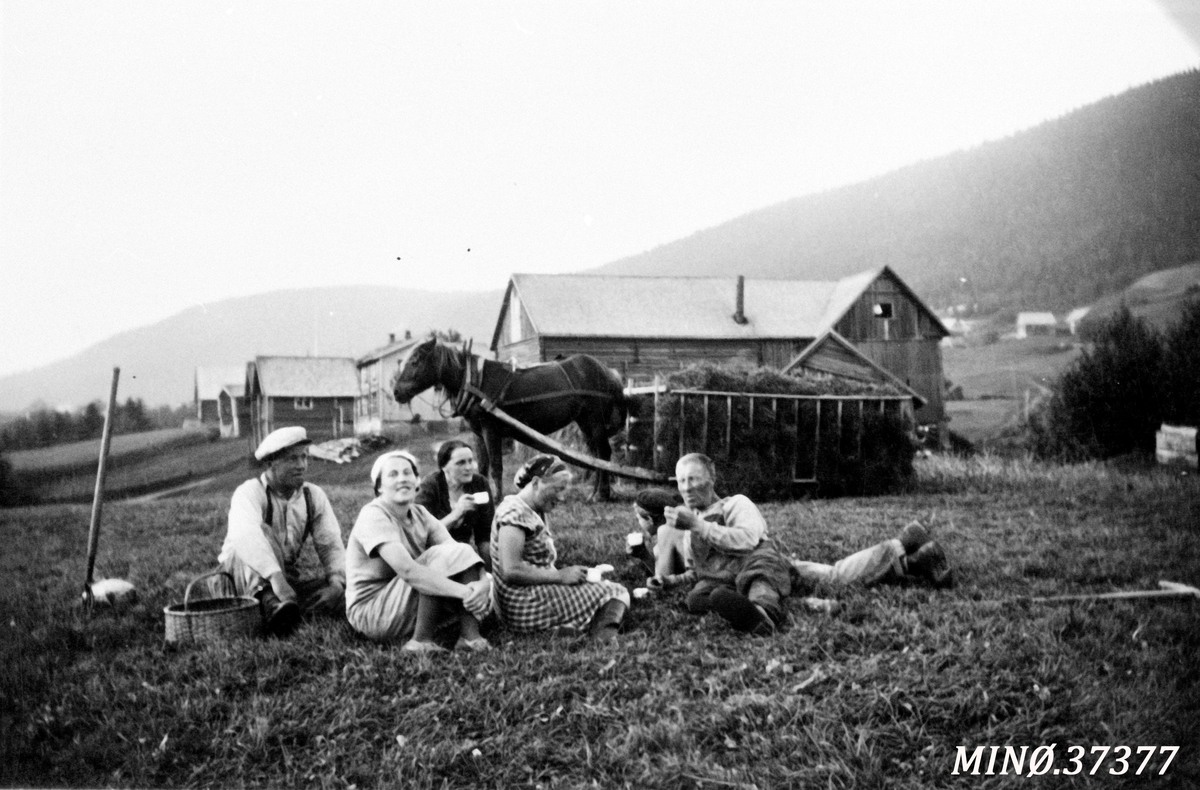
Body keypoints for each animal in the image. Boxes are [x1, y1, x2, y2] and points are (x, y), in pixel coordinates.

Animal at [398, 336, 633, 499]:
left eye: (415, 361)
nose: (396, 392)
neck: (475, 381)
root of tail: (606, 370)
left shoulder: (490, 430)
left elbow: (496, 467)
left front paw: (498, 497)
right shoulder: (477, 433)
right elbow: (480, 467)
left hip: (594, 419)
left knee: (603, 453)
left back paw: (601, 494)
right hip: (584, 421)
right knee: (595, 455)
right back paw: (595, 492)